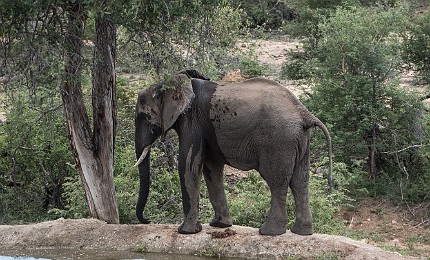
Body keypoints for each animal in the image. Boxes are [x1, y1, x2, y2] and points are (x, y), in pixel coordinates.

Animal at [134, 70, 332, 236]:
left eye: (143, 117)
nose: (147, 220)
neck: (168, 82)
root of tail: (305, 114)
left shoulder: (192, 122)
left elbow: (188, 165)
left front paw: (185, 232)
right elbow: (211, 169)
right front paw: (219, 225)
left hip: (278, 140)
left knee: (277, 182)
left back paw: (269, 232)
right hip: (301, 140)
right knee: (300, 181)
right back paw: (302, 232)